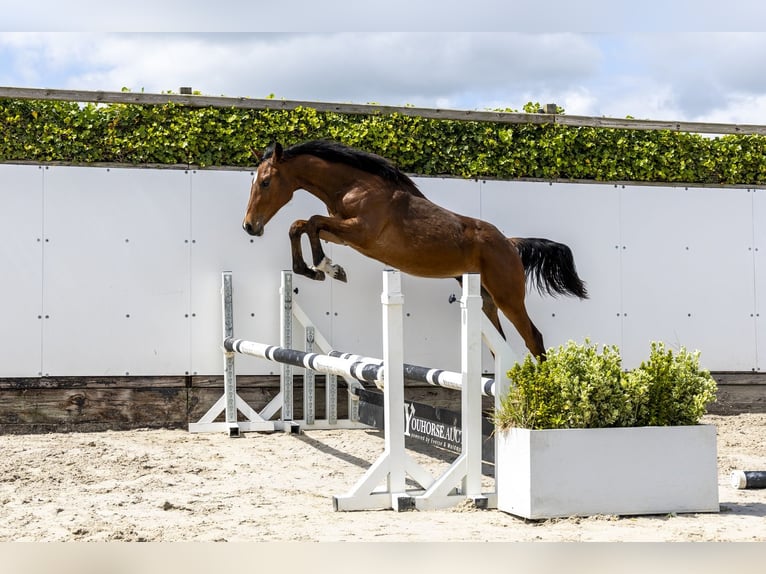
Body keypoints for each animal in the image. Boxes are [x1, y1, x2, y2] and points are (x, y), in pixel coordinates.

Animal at [242, 139, 587, 360]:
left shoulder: (360, 231)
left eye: (265, 182)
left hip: (508, 296)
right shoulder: (344, 232)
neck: (355, 186)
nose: (249, 226)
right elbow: (300, 225)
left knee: (533, 338)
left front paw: (327, 267)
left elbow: (311, 222)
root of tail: (510, 244)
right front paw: (315, 270)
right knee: (500, 344)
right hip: (485, 299)